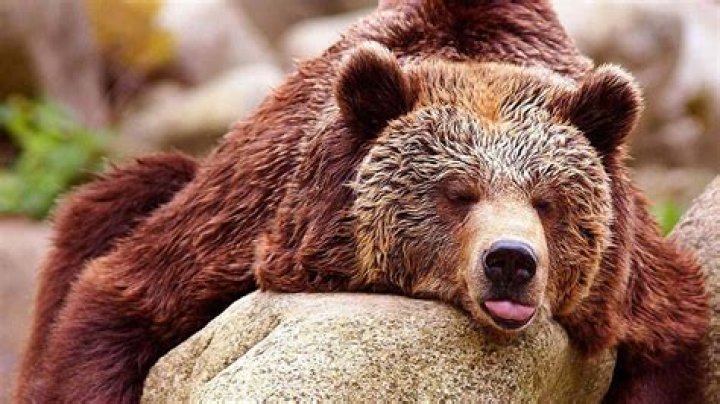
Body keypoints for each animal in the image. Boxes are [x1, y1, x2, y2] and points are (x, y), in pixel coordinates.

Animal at [15, 1, 709, 403]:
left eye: (546, 200)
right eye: (457, 193)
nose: (511, 260)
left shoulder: (627, 280)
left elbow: (668, 338)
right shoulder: (254, 219)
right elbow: (120, 297)